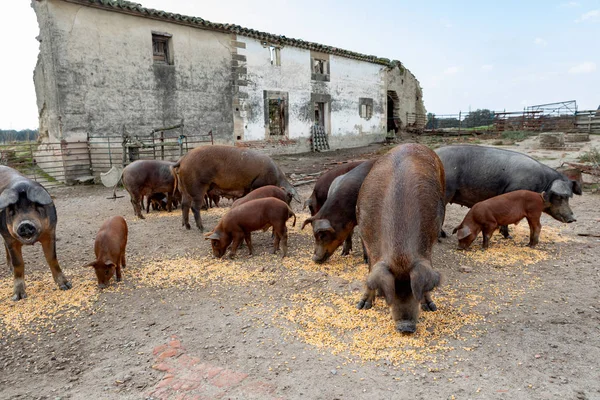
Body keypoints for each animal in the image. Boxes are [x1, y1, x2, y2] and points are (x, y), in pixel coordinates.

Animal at [0, 165, 71, 300]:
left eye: (36, 206)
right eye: (12, 210)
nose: (25, 224)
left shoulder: (50, 233)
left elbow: (51, 258)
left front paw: (66, 286)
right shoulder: (11, 240)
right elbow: (18, 264)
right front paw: (18, 297)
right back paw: (10, 268)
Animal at [356, 144, 446, 334]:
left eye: (412, 290)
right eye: (392, 291)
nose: (406, 327)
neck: (400, 254)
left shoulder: (429, 241)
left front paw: (431, 307)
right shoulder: (366, 235)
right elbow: (371, 270)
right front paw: (363, 306)